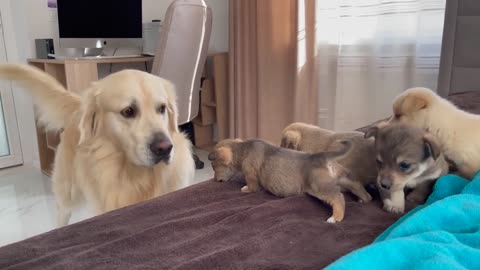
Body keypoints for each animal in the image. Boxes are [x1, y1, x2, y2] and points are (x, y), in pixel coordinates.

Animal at [0, 64, 195, 227]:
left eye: (162, 108)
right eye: (128, 111)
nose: (164, 148)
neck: (137, 177)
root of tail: (79, 106)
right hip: (67, 194)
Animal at [206, 138, 368, 223]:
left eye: (214, 167)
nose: (215, 180)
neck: (242, 149)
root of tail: (323, 157)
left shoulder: (250, 173)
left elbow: (251, 185)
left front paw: (245, 189)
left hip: (319, 187)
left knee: (338, 197)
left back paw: (335, 218)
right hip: (345, 178)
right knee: (358, 186)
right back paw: (365, 199)